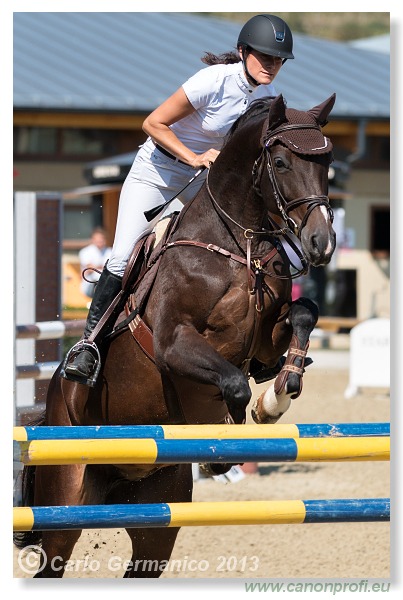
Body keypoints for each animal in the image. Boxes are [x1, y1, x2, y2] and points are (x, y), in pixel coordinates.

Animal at [14, 92, 338, 576]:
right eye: (280, 162)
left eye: (328, 163)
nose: (322, 243)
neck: (236, 243)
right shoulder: (174, 345)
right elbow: (234, 383)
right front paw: (232, 436)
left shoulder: (264, 340)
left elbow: (303, 315)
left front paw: (278, 395)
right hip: (64, 504)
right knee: (53, 556)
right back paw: (84, 360)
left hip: (156, 521)